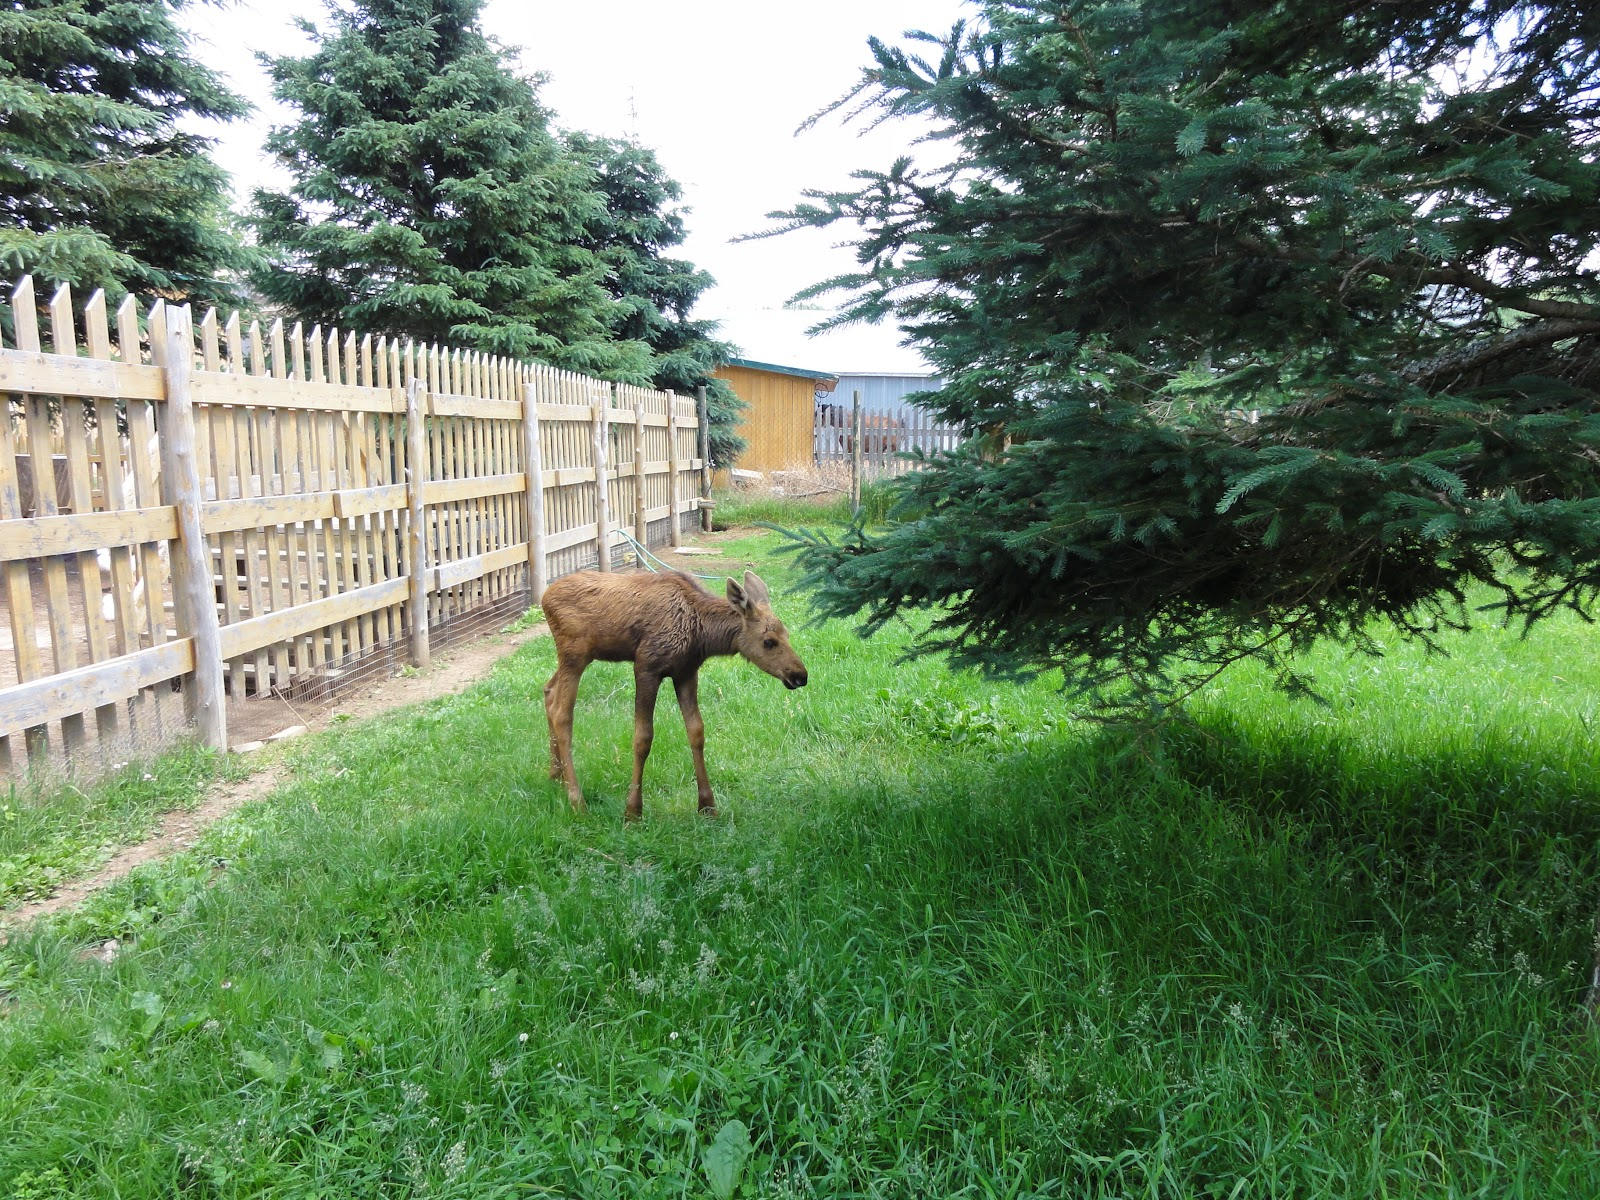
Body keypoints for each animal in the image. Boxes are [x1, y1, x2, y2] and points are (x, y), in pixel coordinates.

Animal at [540, 569, 812, 819]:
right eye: (769, 641)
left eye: (787, 634)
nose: (800, 675)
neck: (701, 632)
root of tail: (544, 598)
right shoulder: (646, 666)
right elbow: (643, 738)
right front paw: (633, 811)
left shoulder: (686, 672)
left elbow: (696, 731)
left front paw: (707, 805)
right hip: (575, 654)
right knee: (562, 713)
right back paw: (577, 800)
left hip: (576, 657)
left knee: (549, 691)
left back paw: (556, 775)